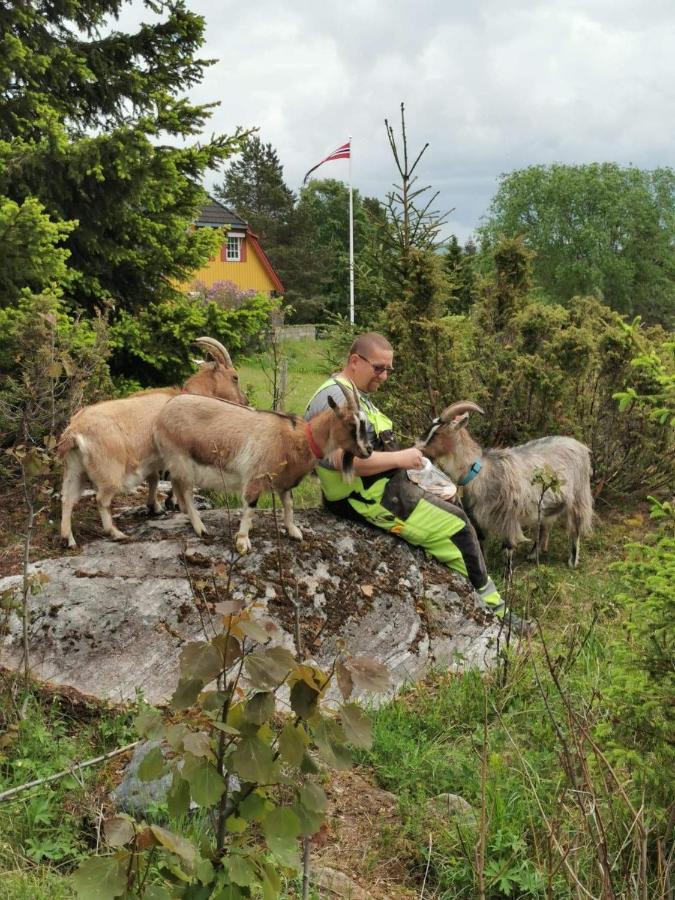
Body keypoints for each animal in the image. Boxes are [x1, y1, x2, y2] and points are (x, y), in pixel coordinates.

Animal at [57, 338, 248, 548]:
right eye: (235, 377)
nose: (245, 401)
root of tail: (74, 431)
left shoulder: (152, 458)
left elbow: (154, 479)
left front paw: (155, 507)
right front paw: (173, 504)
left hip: (74, 470)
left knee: (68, 499)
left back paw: (69, 539)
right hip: (109, 471)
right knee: (101, 500)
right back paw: (116, 533)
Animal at [153, 382, 372, 552]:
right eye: (351, 424)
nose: (368, 451)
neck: (296, 438)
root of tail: (163, 412)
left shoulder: (284, 481)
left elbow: (289, 505)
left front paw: (294, 531)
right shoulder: (255, 478)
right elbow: (250, 508)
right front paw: (242, 541)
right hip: (182, 460)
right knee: (186, 492)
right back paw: (200, 527)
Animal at [420, 402, 596, 576]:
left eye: (437, 433)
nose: (418, 449)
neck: (479, 471)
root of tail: (581, 446)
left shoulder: (508, 517)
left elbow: (508, 549)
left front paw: (507, 578)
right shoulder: (478, 518)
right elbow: (481, 544)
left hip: (579, 496)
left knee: (576, 529)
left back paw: (572, 561)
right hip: (548, 504)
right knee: (545, 527)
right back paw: (532, 555)